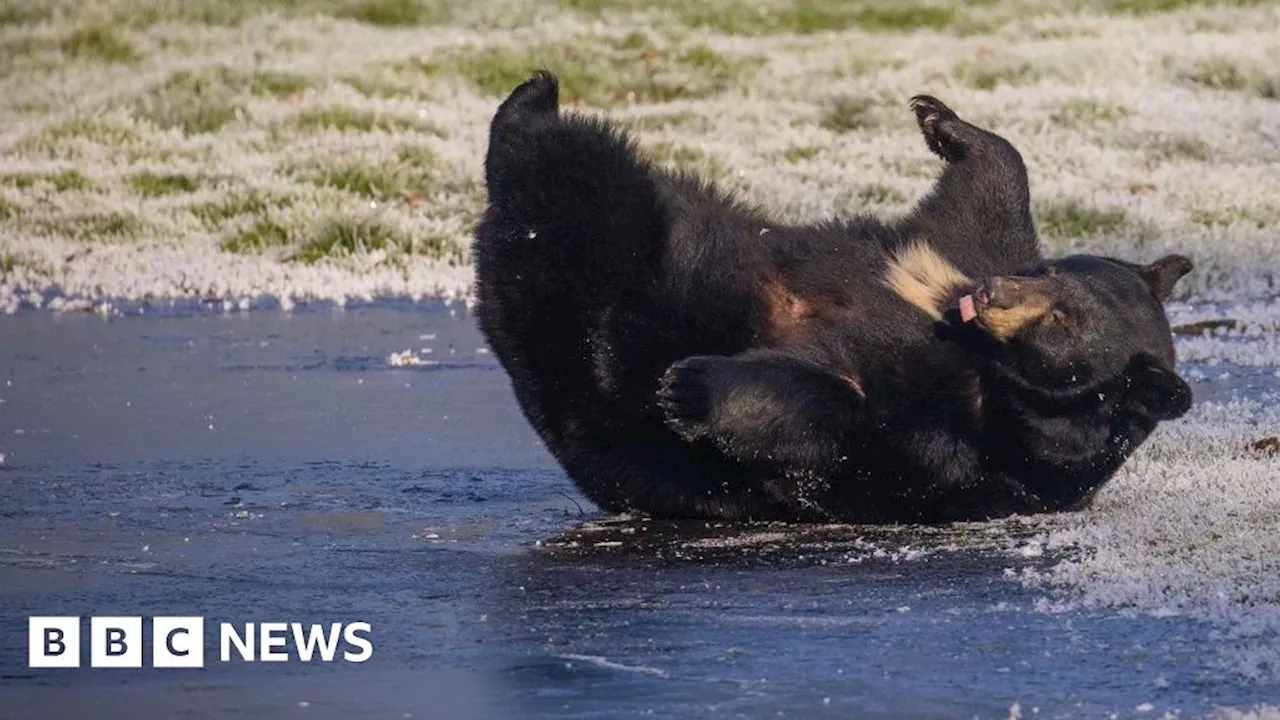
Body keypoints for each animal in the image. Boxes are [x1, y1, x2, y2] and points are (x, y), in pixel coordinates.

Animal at [476, 73, 1192, 520]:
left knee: (579, 186)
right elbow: (986, 199)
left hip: (608, 257)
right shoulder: (952, 255)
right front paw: (938, 117)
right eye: (1050, 281)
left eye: (1062, 324)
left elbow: (839, 417)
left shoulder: (954, 443)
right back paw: (531, 100)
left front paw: (690, 387)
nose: (990, 295)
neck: (987, 369)